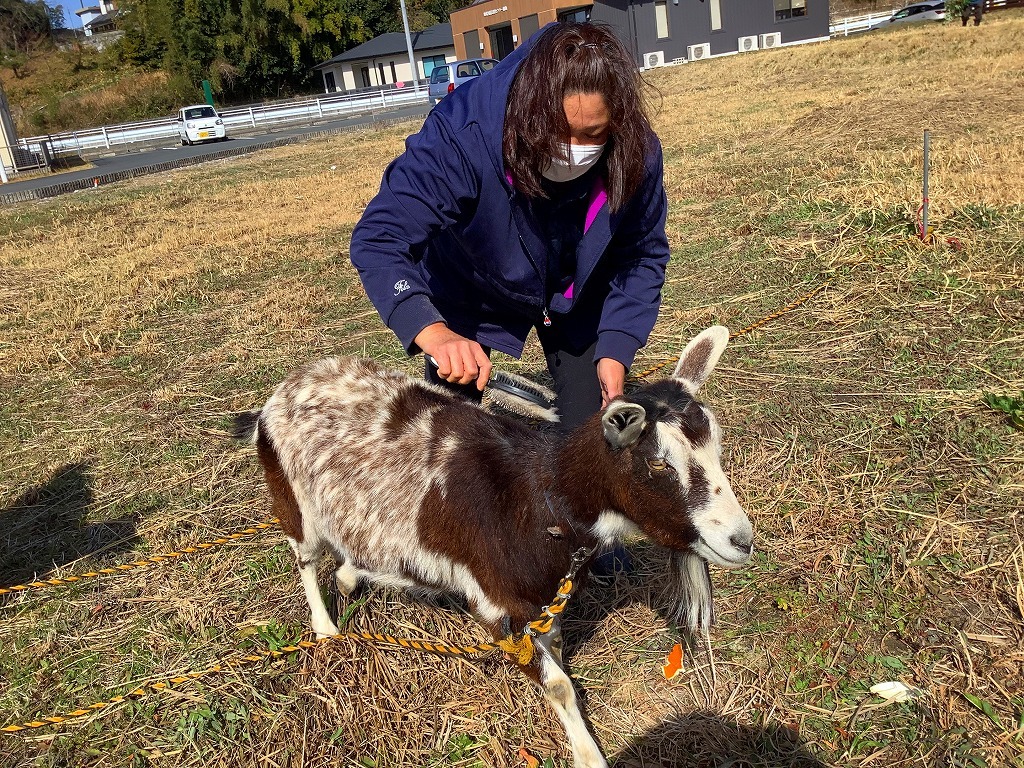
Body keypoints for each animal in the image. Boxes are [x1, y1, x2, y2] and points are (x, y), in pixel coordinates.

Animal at [237, 325, 753, 768]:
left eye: (716, 446)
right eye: (659, 464)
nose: (741, 541)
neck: (538, 497)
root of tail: (284, 390)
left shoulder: (543, 595)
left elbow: (556, 647)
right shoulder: (498, 604)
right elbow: (558, 686)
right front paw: (590, 755)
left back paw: (349, 578)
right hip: (291, 496)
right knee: (305, 558)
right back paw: (326, 628)